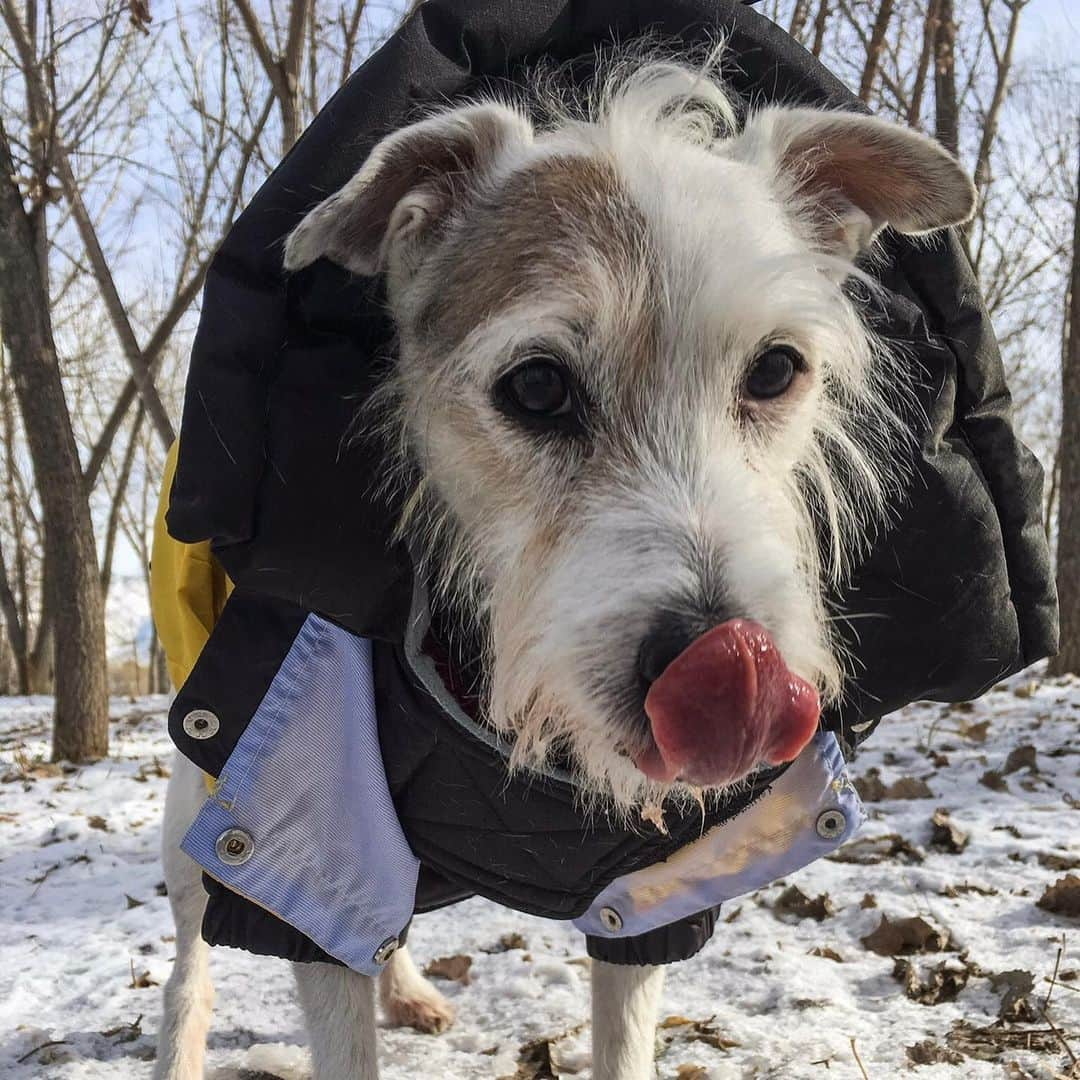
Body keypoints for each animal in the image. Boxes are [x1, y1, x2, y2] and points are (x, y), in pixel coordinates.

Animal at [154, 54, 980, 1080]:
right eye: (537, 386)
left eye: (776, 369)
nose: (731, 671)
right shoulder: (293, 834)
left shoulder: (652, 894)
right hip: (200, 805)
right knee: (193, 959)